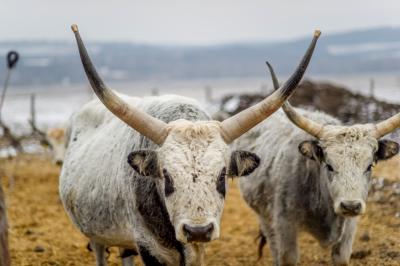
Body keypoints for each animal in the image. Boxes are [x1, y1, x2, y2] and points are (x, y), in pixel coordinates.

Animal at [59, 25, 320, 266]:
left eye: (222, 175)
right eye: (167, 176)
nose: (197, 230)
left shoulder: (196, 249)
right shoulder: (149, 246)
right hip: (96, 236)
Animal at [238, 63, 400, 264]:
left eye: (369, 166)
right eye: (329, 166)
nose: (350, 206)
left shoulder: (349, 227)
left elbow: (341, 258)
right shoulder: (285, 225)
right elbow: (287, 257)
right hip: (264, 215)